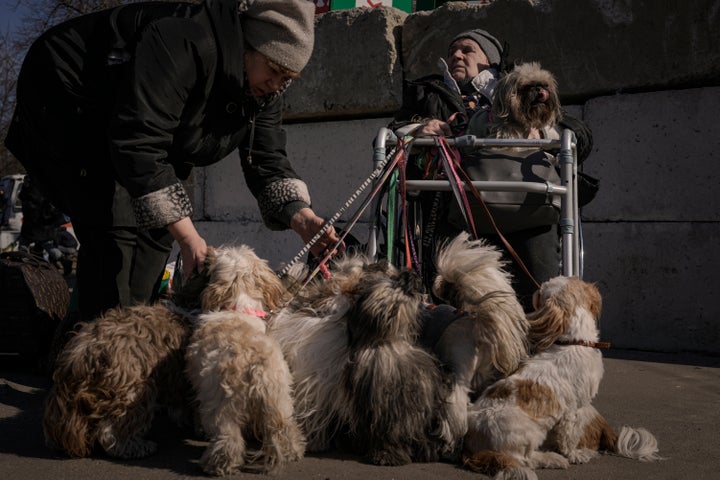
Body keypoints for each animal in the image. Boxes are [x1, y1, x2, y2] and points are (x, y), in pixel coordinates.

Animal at [184, 246, 306, 474]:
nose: (210, 251)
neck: (239, 309)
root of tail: (255, 363)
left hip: (221, 404)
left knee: (228, 437)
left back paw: (217, 464)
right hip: (280, 399)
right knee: (283, 429)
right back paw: (293, 452)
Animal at [464, 276, 660, 478]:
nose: (536, 290)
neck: (574, 342)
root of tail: (474, 444)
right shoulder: (573, 409)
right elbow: (569, 436)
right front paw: (573, 454)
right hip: (528, 434)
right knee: (526, 459)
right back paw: (552, 458)